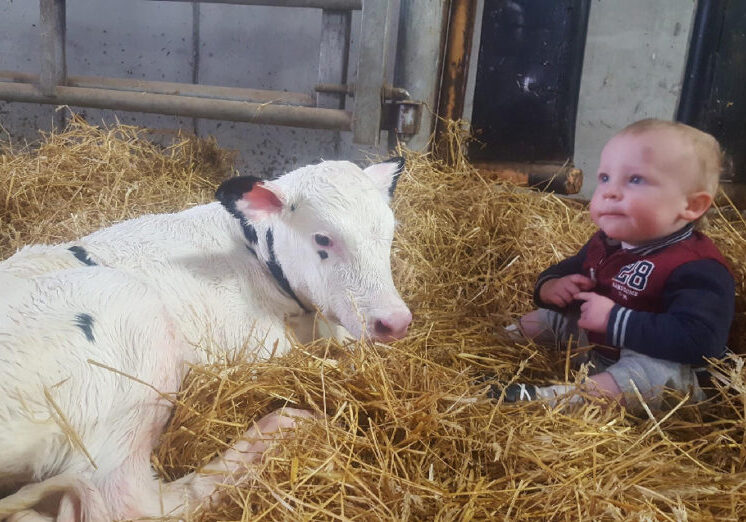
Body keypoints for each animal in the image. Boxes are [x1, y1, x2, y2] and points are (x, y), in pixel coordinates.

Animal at [0, 158, 412, 521]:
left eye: (389, 234)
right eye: (323, 238)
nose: (395, 321)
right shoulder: (254, 344)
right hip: (133, 342)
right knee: (128, 500)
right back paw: (281, 427)